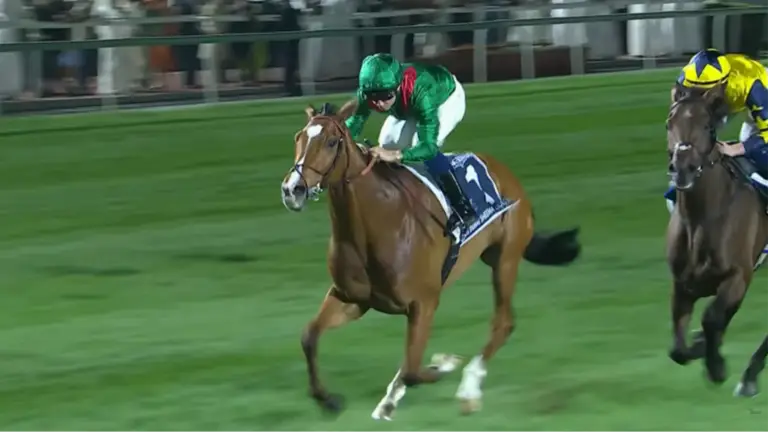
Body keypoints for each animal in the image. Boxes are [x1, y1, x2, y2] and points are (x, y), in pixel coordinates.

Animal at [279, 100, 581, 419]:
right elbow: (309, 336)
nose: (292, 190)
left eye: (331, 142)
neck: (377, 222)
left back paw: (468, 390)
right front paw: (329, 399)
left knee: (503, 323)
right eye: (298, 138)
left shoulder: (423, 302)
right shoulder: (352, 299)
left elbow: (413, 369)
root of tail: (506, 173)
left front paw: (444, 363)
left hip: (506, 259)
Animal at [666, 83, 768, 397]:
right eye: (669, 123)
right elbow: (678, 349)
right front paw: (700, 345)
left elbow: (712, 318)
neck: (702, 219)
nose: (683, 168)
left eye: (707, 126)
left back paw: (749, 376)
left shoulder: (738, 276)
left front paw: (716, 365)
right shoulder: (683, 282)